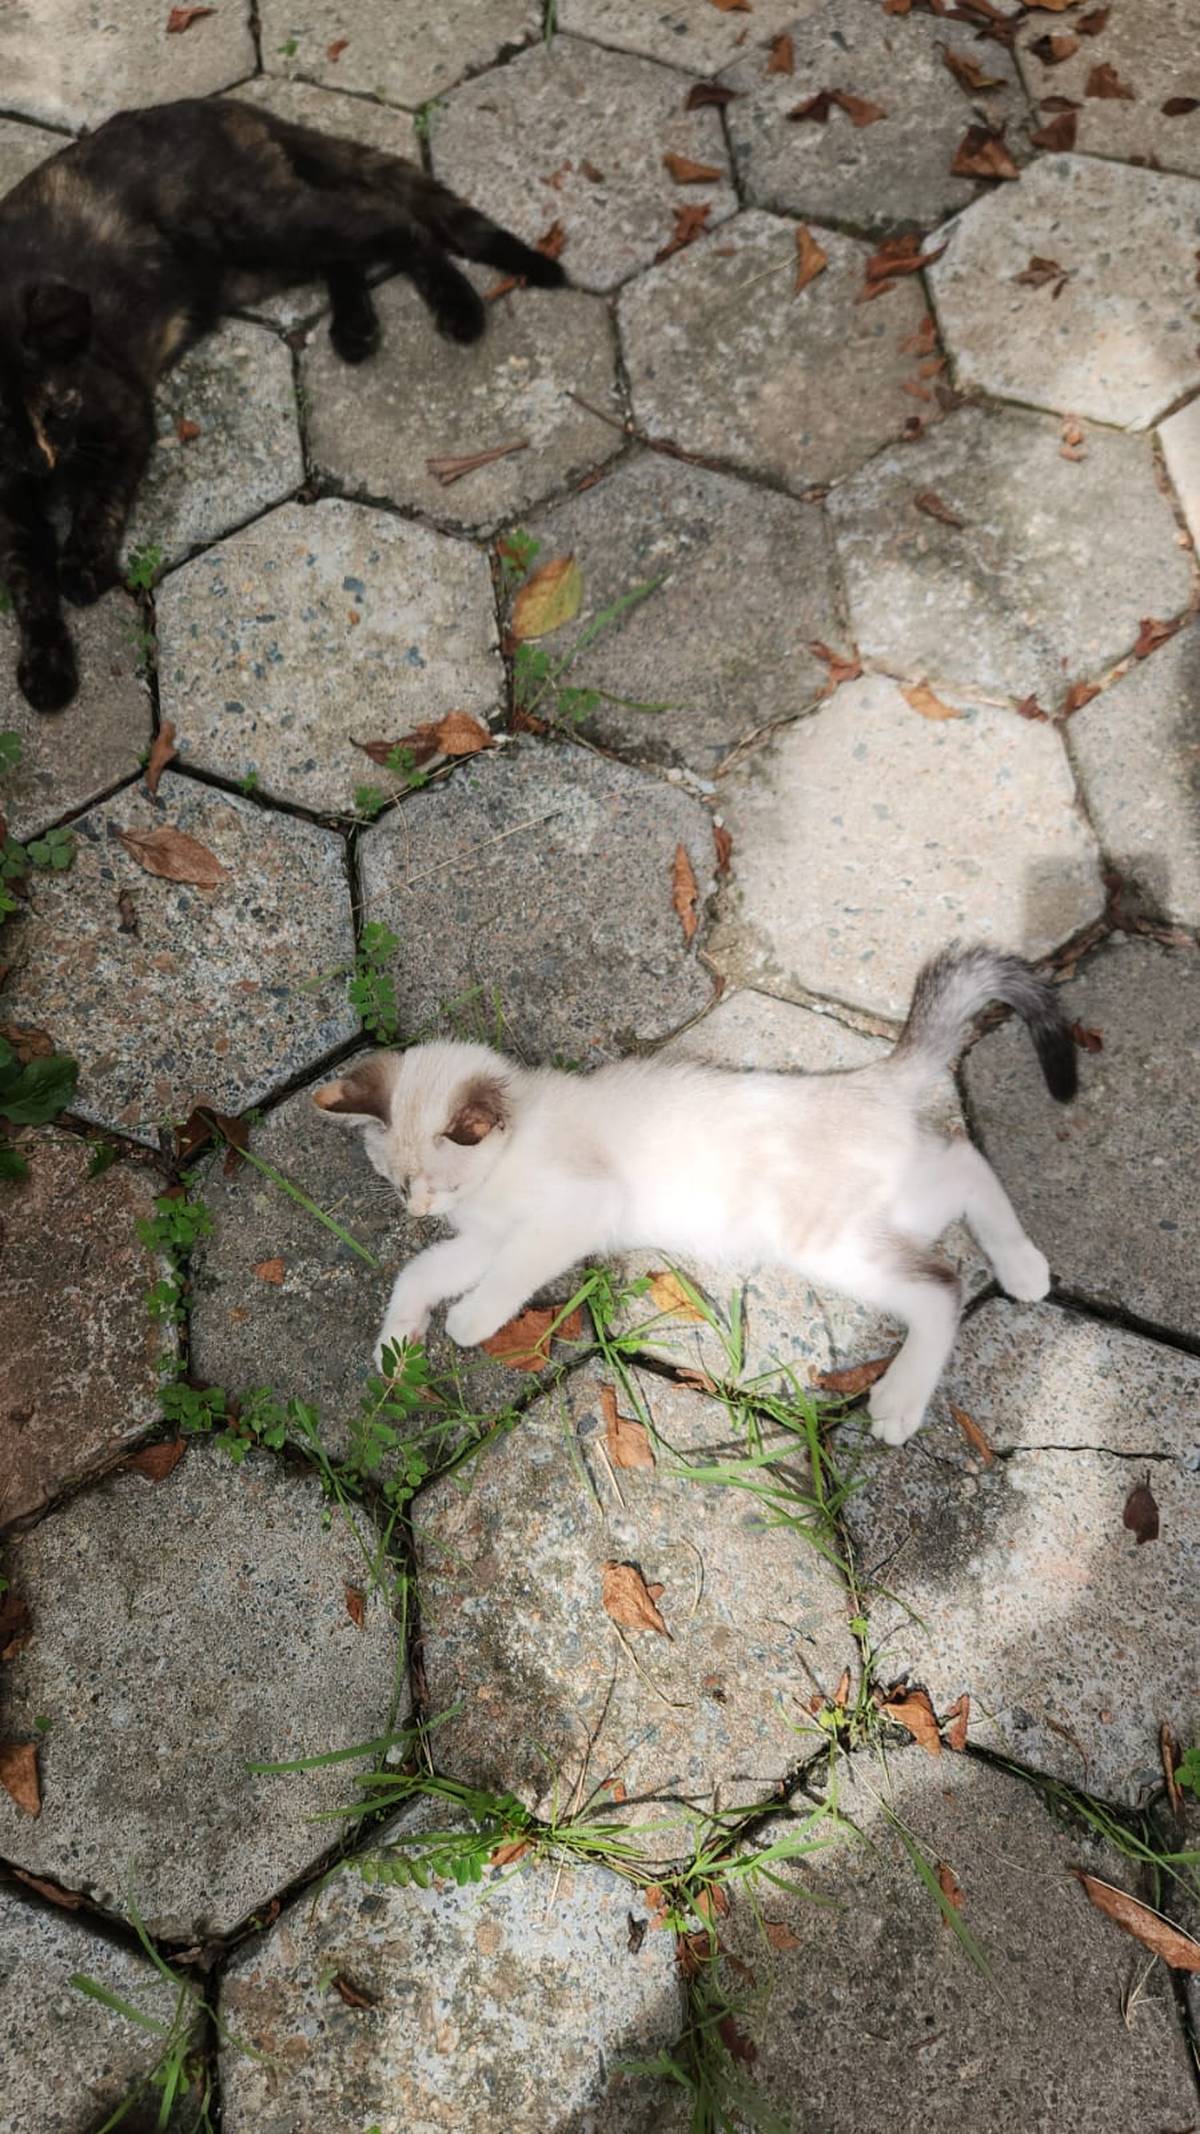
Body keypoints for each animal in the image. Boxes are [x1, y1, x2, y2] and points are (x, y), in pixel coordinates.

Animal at [0, 96, 565, 712]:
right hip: (245, 267)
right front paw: (45, 664)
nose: (40, 464)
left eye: (56, 410)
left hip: (264, 224)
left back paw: (458, 305)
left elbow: (100, 500)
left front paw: (82, 563)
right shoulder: (8, 504)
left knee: (391, 221)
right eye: (1, 435)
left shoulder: (124, 415)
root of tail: (219, 105)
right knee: (342, 255)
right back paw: (355, 329)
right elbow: (27, 578)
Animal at [314, 944, 1077, 1447]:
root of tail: (868, 1080)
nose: (418, 1210)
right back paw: (1023, 1266)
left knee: (942, 1282)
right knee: (963, 1161)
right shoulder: (482, 1235)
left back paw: (900, 1401)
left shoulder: (573, 1210)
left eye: (437, 1182)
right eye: (400, 1183)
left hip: (826, 1242)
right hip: (896, 1202)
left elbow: (509, 1273)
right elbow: (423, 1271)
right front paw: (397, 1341)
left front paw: (470, 1321)